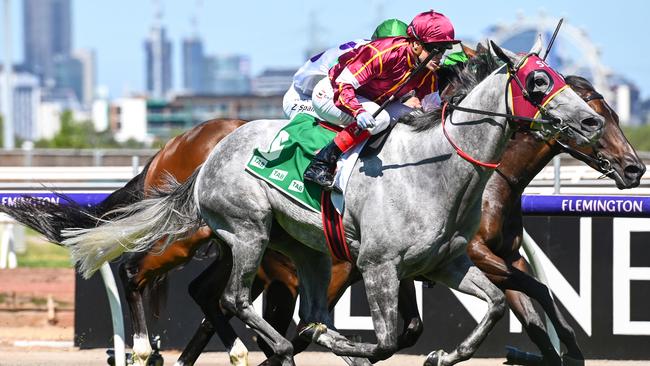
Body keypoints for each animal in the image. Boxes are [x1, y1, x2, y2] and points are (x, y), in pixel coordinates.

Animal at [60, 38, 604, 364]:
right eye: (538, 81)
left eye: (560, 76)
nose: (593, 122)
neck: (435, 170)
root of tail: (209, 154)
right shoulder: (381, 267)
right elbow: (388, 339)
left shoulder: (446, 262)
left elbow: (491, 306)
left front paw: (445, 354)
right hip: (248, 232)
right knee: (224, 296)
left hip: (306, 251)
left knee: (301, 313)